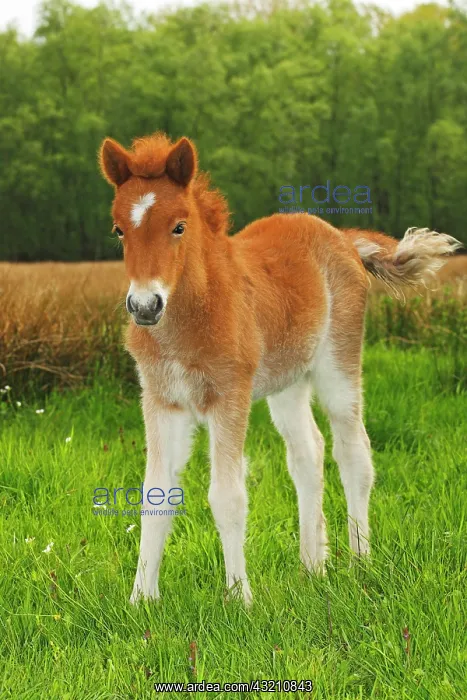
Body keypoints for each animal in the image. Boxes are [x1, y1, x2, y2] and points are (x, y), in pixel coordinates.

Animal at [99, 132, 460, 605]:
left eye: (179, 226)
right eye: (119, 230)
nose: (144, 307)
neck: (195, 313)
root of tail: (344, 238)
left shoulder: (229, 397)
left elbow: (228, 497)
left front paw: (239, 599)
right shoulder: (162, 401)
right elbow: (154, 497)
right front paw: (141, 601)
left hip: (338, 366)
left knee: (353, 452)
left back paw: (359, 563)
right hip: (287, 381)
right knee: (308, 451)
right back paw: (312, 568)